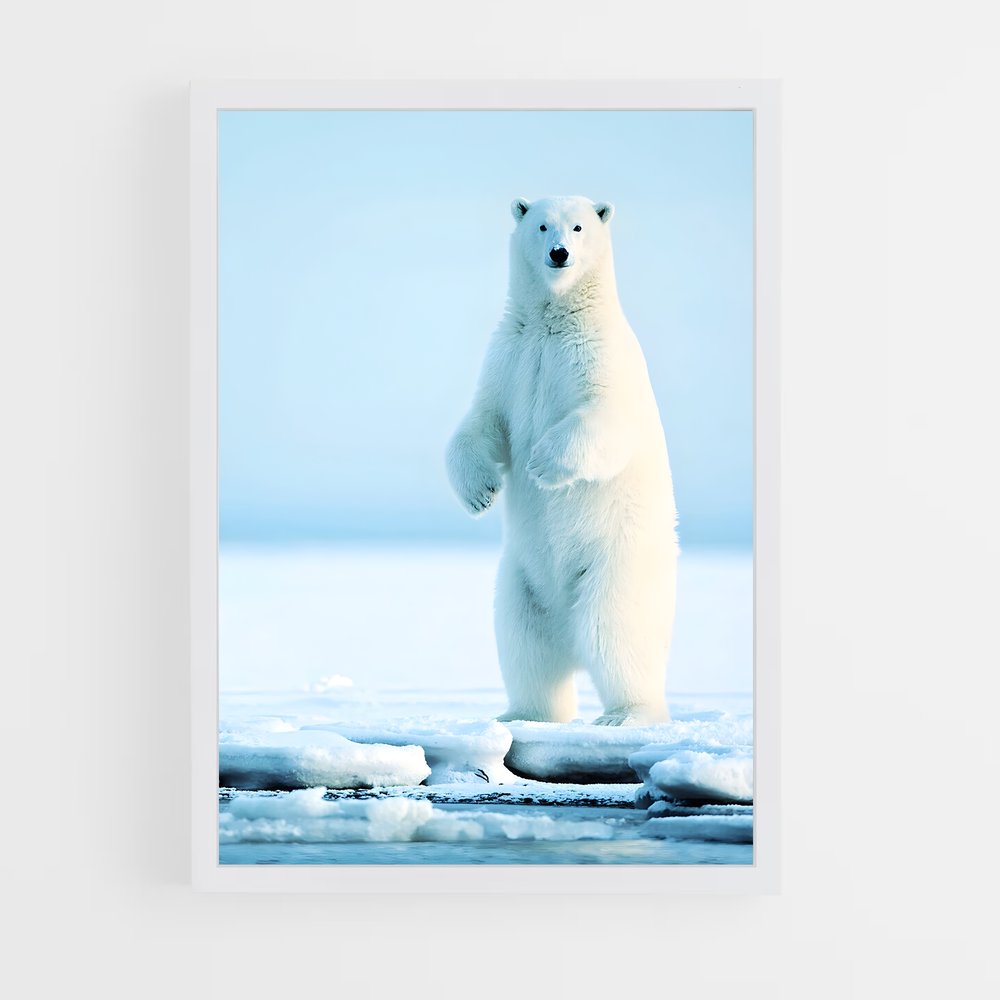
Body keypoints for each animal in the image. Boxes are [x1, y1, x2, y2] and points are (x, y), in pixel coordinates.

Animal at [446, 195, 678, 726]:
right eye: (541, 225)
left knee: (615, 633)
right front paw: (481, 492)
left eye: (578, 227)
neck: (553, 321)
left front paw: (541, 464)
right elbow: (483, 421)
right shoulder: (510, 355)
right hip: (520, 582)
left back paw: (626, 713)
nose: (559, 253)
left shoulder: (599, 354)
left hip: (615, 565)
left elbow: (606, 416)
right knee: (524, 645)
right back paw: (521, 713)